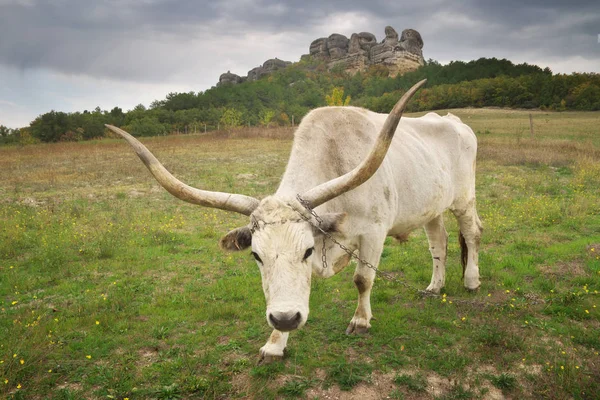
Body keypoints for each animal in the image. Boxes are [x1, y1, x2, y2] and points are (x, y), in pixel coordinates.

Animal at [106, 79, 482, 362]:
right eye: (256, 256)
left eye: (306, 251)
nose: (285, 318)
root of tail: (455, 122)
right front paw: (275, 343)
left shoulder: (374, 232)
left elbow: (363, 280)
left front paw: (360, 322)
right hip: (431, 206)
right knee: (439, 242)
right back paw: (434, 287)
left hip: (464, 199)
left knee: (472, 233)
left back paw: (471, 280)